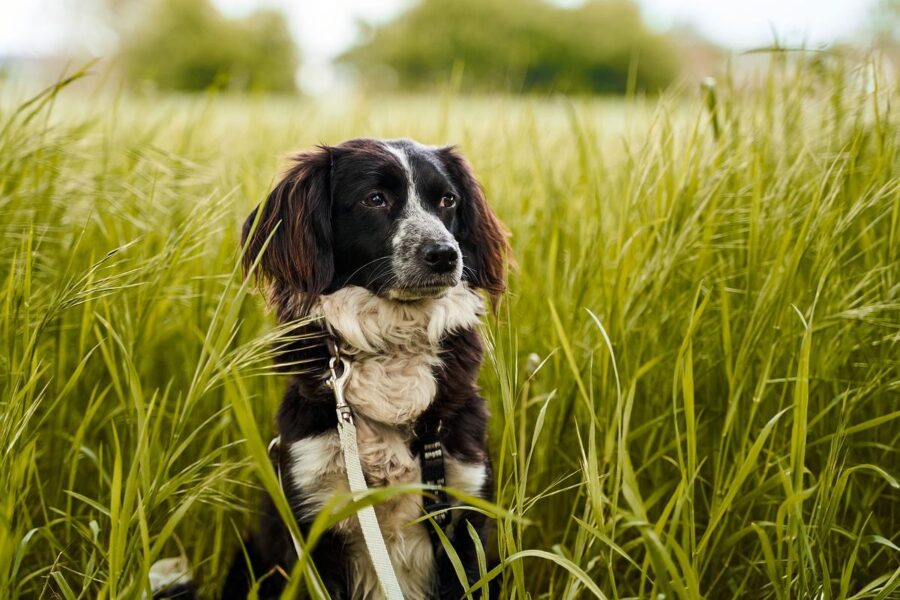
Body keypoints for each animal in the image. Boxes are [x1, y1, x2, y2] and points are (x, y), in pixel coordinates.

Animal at [214, 138, 506, 596]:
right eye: (375, 199)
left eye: (448, 200)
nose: (446, 254)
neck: (393, 347)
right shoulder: (313, 520)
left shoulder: (464, 513)